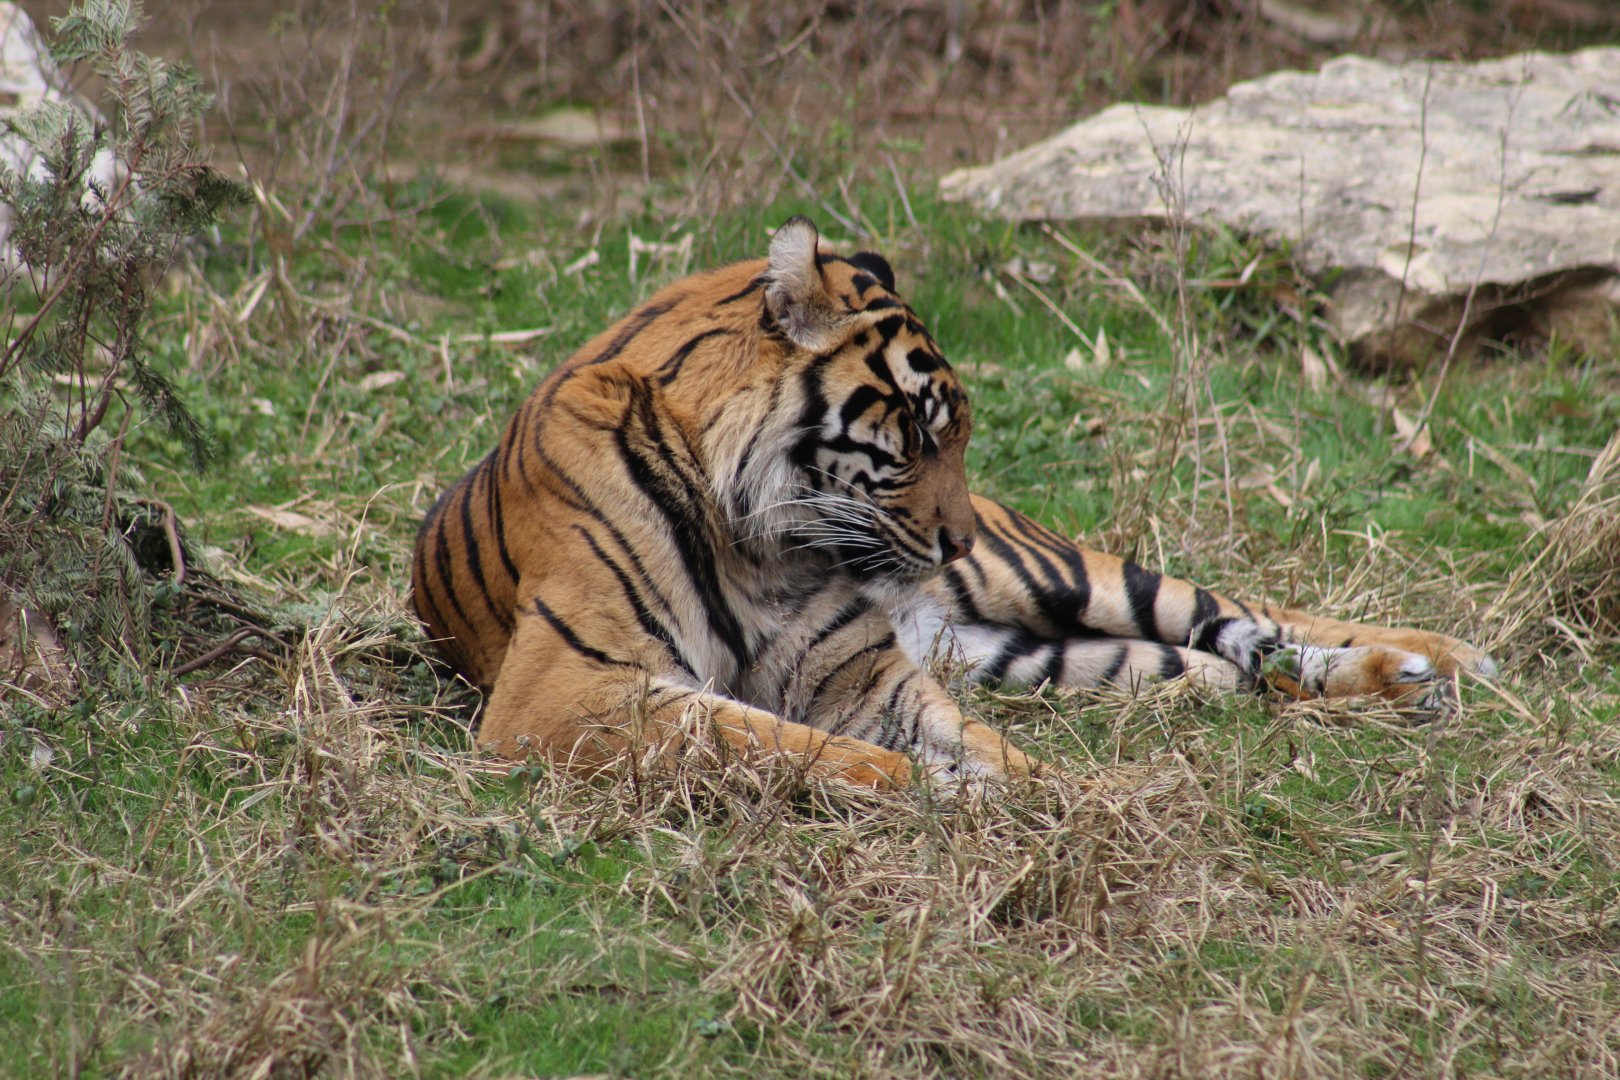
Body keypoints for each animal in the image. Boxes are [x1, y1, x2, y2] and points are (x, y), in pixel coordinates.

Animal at [411, 216, 1496, 790]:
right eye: (925, 429)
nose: (955, 541)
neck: (760, 539)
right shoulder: (566, 689)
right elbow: (773, 737)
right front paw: (941, 790)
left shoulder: (862, 675)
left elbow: (972, 744)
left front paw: (1033, 793)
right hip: (1030, 655)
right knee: (1223, 665)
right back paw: (1385, 682)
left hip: (1059, 576)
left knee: (1245, 612)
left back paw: (1431, 661)